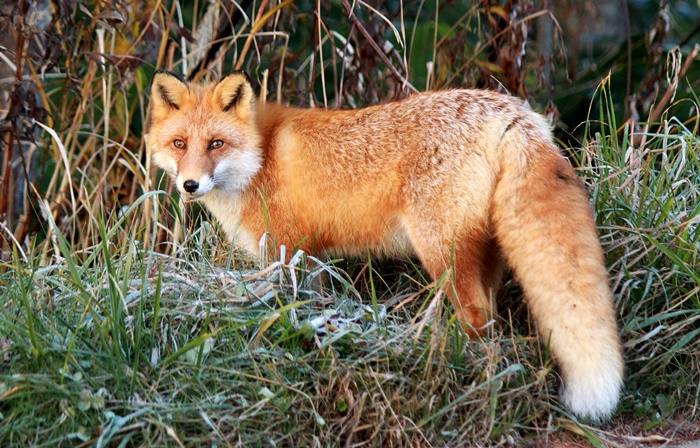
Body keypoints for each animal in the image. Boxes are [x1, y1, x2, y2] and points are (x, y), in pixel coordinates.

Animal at [146, 70, 624, 421]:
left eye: (216, 144)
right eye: (179, 144)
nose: (190, 185)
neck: (261, 159)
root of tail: (512, 112)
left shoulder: (290, 254)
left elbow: (292, 308)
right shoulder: (311, 259)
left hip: (441, 251)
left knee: (475, 314)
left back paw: (452, 367)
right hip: (481, 249)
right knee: (489, 315)